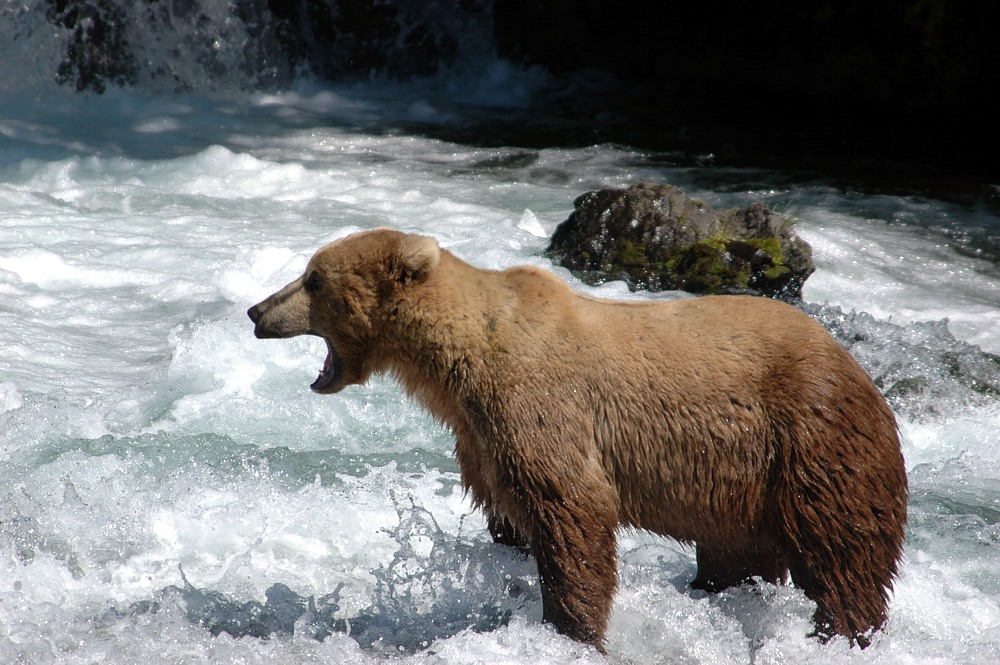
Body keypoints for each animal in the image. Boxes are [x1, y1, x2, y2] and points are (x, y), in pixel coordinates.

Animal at [248, 226, 908, 652]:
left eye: (313, 278)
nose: (257, 311)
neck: (457, 365)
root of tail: (858, 367)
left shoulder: (540, 407)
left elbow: (573, 512)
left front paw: (573, 630)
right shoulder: (481, 439)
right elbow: (510, 515)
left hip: (809, 438)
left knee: (842, 548)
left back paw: (843, 631)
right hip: (739, 486)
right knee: (738, 554)